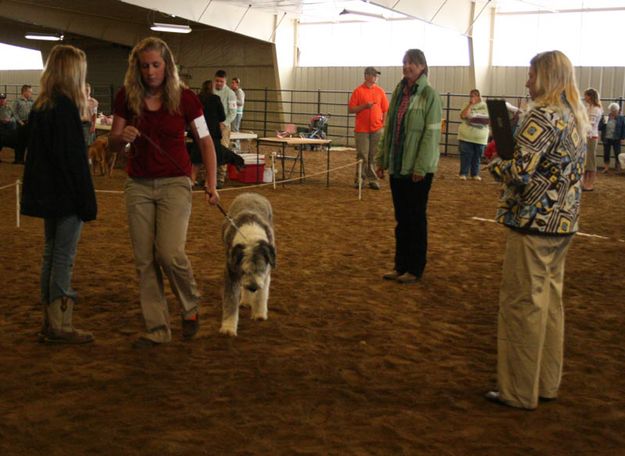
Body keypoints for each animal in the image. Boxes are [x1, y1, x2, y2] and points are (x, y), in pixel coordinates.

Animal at [222, 192, 276, 334]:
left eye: (261, 269)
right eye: (244, 270)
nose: (253, 287)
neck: (250, 238)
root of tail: (250, 193)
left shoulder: (266, 272)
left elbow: (262, 295)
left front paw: (259, 314)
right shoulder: (232, 271)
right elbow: (230, 300)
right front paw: (228, 328)